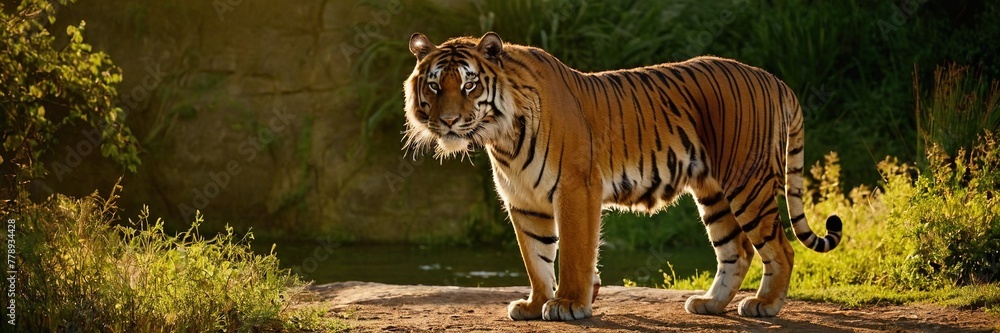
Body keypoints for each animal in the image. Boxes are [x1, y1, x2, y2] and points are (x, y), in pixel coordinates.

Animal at [402, 32, 840, 320]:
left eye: (469, 84)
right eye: (435, 85)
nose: (448, 121)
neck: (502, 136)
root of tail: (774, 79)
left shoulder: (576, 188)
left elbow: (574, 252)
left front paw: (568, 304)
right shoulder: (524, 200)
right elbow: (536, 257)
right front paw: (534, 303)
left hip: (746, 183)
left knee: (780, 248)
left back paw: (764, 305)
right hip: (714, 193)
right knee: (737, 249)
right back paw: (710, 304)